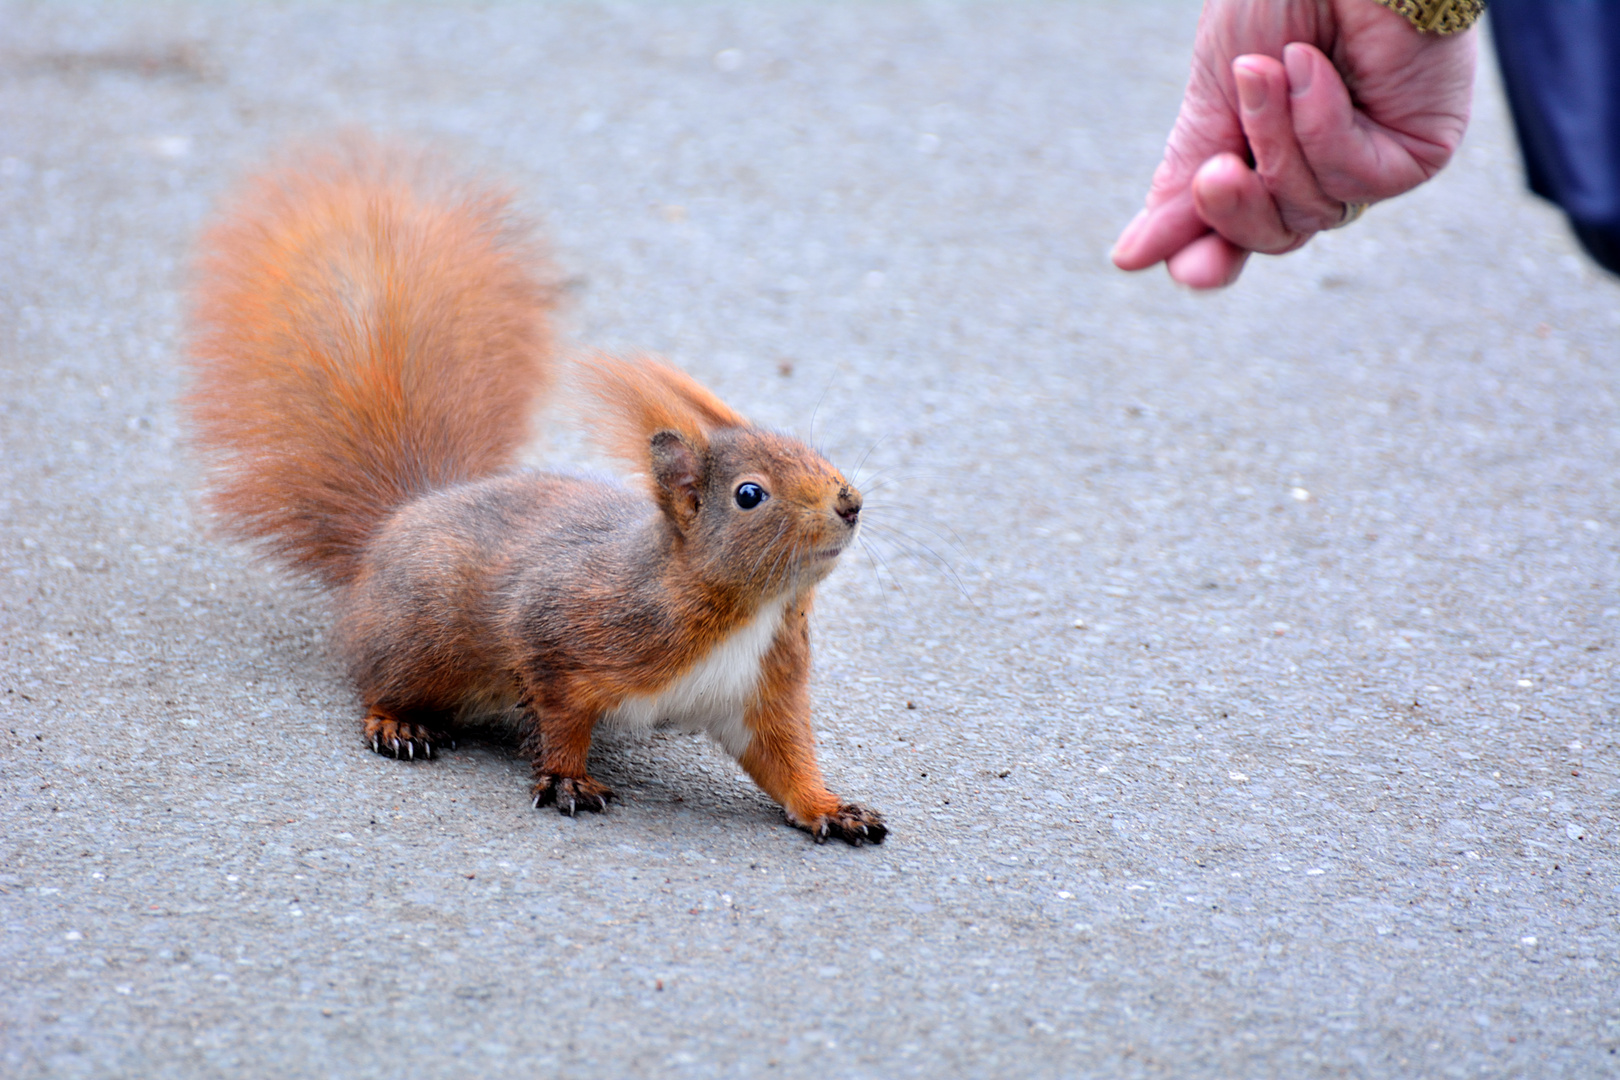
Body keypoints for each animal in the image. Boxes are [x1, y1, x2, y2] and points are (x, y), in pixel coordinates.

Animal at [187, 143, 887, 848]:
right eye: (749, 494)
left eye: (810, 449)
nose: (849, 502)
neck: (752, 611)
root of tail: (399, 518)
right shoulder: (564, 633)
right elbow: (561, 715)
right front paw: (569, 778)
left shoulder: (761, 693)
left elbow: (785, 760)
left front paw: (831, 807)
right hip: (424, 638)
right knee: (378, 679)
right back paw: (396, 723)